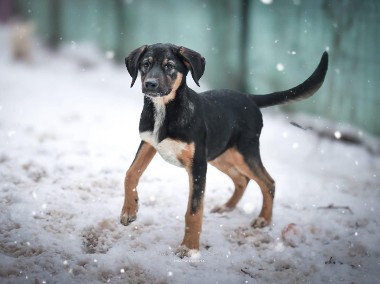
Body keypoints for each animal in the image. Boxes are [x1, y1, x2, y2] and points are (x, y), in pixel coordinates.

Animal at [120, 42, 328, 258]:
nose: (150, 84)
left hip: (243, 152)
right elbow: (130, 173)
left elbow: (194, 210)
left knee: (268, 182)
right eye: (145, 64)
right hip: (220, 154)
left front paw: (189, 248)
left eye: (169, 66)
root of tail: (249, 97)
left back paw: (264, 219)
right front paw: (129, 210)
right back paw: (226, 208)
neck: (165, 109)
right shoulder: (148, 143)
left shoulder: (198, 165)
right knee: (242, 180)